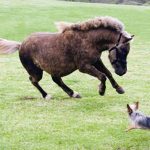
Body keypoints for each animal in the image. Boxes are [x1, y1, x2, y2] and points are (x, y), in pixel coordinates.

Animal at [0, 16, 134, 99]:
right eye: (122, 51)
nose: (122, 72)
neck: (89, 41)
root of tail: (20, 45)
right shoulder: (84, 67)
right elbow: (102, 76)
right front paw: (101, 91)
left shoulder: (96, 61)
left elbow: (108, 73)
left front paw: (119, 89)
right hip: (36, 71)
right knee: (34, 81)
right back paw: (47, 96)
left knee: (56, 80)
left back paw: (73, 93)